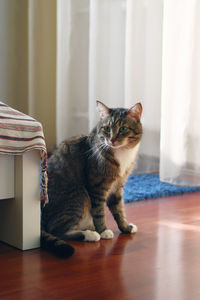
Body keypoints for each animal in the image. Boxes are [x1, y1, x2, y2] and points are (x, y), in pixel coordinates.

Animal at [41, 101, 143, 258]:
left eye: (123, 129)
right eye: (107, 128)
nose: (112, 139)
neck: (122, 153)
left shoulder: (118, 187)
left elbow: (119, 210)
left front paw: (126, 228)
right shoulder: (97, 187)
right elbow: (99, 211)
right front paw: (104, 231)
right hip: (79, 195)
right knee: (56, 230)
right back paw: (90, 234)